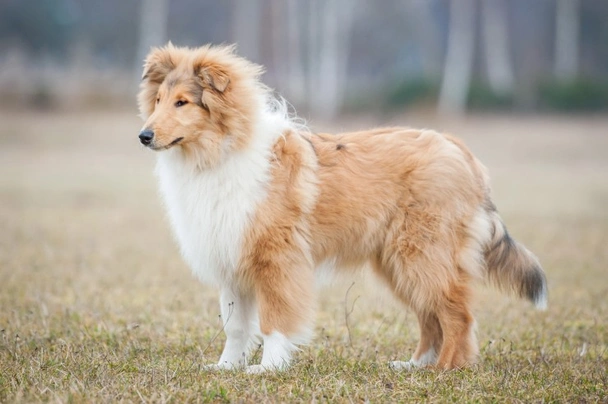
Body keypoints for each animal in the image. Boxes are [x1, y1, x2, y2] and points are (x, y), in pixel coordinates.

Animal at [138, 43, 548, 372]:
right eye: (157, 101)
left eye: (182, 102)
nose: (143, 136)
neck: (218, 153)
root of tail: (459, 149)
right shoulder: (231, 260)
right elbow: (236, 326)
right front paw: (225, 367)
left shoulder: (277, 261)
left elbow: (274, 320)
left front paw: (267, 368)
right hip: (398, 264)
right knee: (431, 317)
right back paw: (413, 365)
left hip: (422, 255)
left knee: (457, 314)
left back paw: (444, 370)